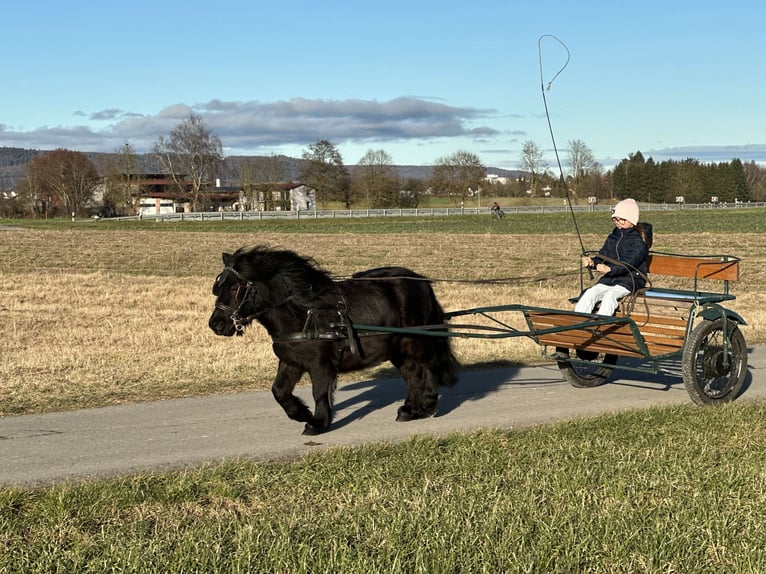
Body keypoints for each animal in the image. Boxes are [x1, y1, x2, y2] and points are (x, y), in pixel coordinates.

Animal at [210, 246, 460, 436]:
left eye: (235, 288)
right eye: (218, 287)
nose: (216, 324)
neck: (305, 312)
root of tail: (421, 281)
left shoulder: (321, 364)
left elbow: (319, 392)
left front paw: (318, 423)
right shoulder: (291, 361)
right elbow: (279, 391)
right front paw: (301, 413)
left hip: (416, 339)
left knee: (429, 365)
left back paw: (428, 404)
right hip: (396, 348)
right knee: (411, 373)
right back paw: (409, 410)